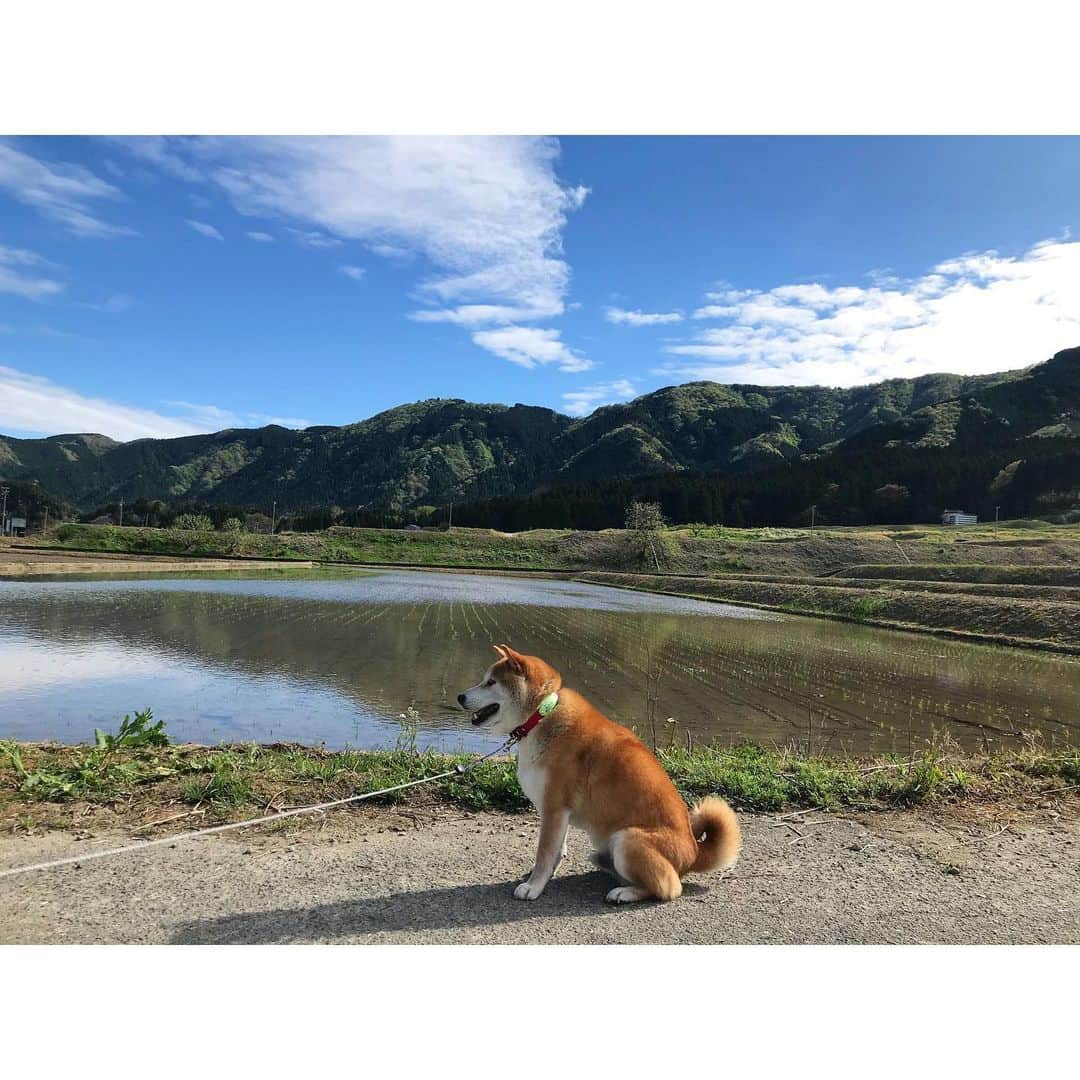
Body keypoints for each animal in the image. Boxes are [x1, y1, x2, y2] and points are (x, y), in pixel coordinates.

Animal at [455, 639, 743, 902]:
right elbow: (557, 851)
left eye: (491, 682)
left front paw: (534, 886)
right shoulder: (558, 813)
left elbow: (544, 853)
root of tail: (694, 852)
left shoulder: (554, 807)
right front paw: (543, 877)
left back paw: (625, 892)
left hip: (628, 839)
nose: (460, 696)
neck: (542, 715)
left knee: (669, 888)